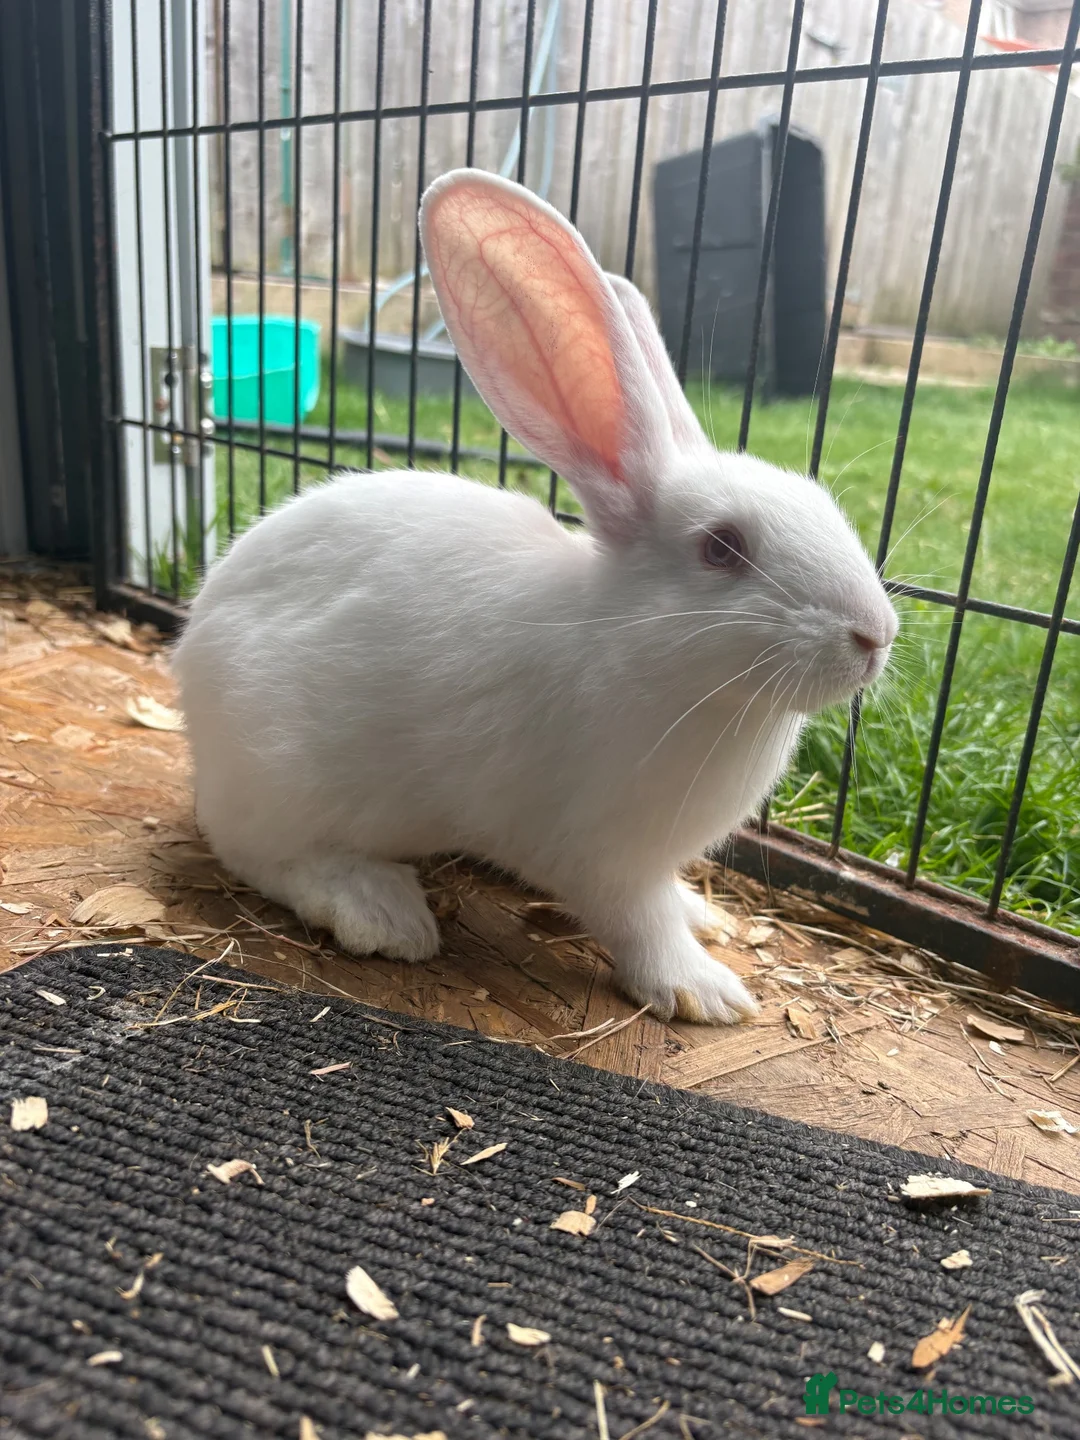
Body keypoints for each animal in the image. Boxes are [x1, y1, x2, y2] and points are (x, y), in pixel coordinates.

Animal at [173, 167, 897, 1025]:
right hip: (283, 775)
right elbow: (641, 924)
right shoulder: (598, 853)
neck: (638, 651)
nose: (875, 635)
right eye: (721, 548)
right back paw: (380, 911)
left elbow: (667, 900)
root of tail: (191, 658)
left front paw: (704, 916)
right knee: (258, 851)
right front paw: (705, 991)